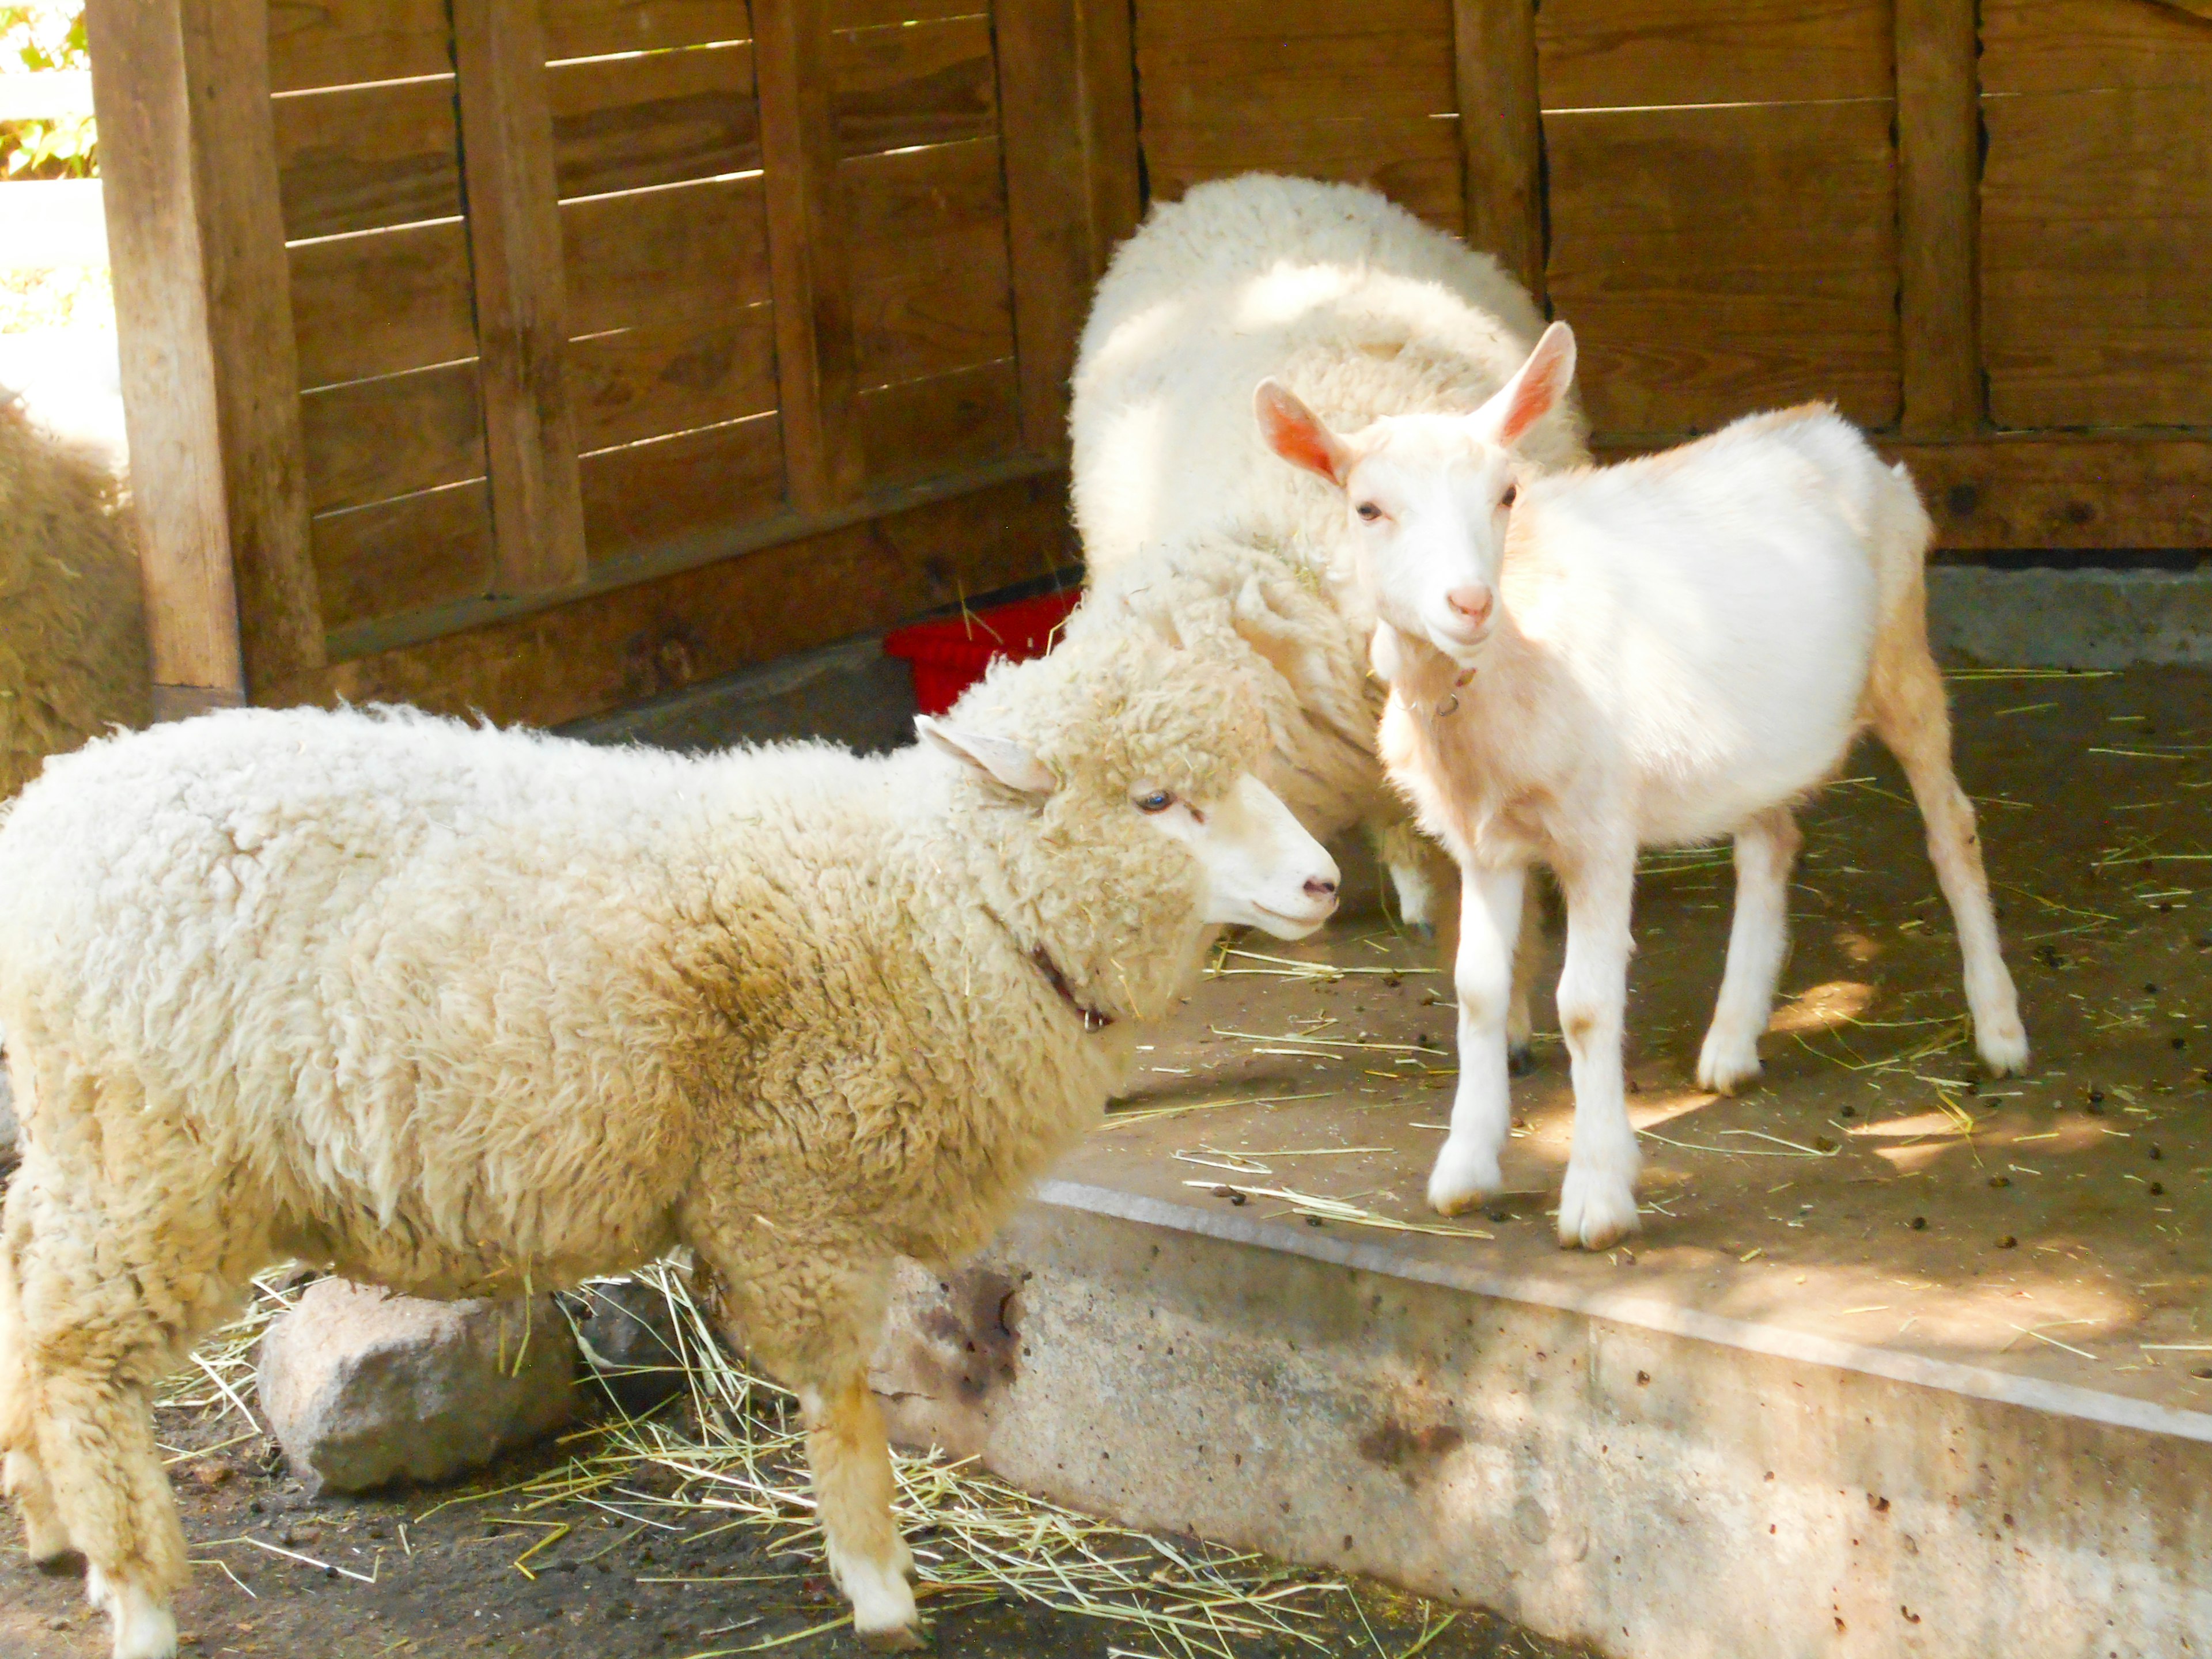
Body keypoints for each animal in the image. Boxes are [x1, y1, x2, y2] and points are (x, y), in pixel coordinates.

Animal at [0, 628, 1327, 1654]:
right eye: (1155, 804)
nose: (1320, 884)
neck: (938, 906)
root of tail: (48, 815)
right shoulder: (791, 1193)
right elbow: (845, 1401)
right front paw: (879, 1581)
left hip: (82, 1140)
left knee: (20, 1288)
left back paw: (47, 1522)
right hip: (153, 1158)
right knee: (79, 1359)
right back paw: (135, 1591)